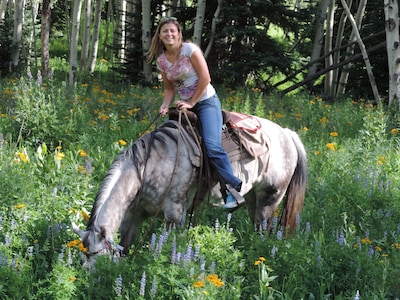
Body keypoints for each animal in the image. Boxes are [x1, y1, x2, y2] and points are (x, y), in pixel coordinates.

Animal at [72, 110, 310, 264]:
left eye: (98, 260)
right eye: (82, 259)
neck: (149, 167)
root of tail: (287, 134)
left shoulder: (174, 213)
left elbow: (170, 246)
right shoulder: (134, 216)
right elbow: (125, 246)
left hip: (269, 199)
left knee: (264, 232)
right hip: (254, 200)